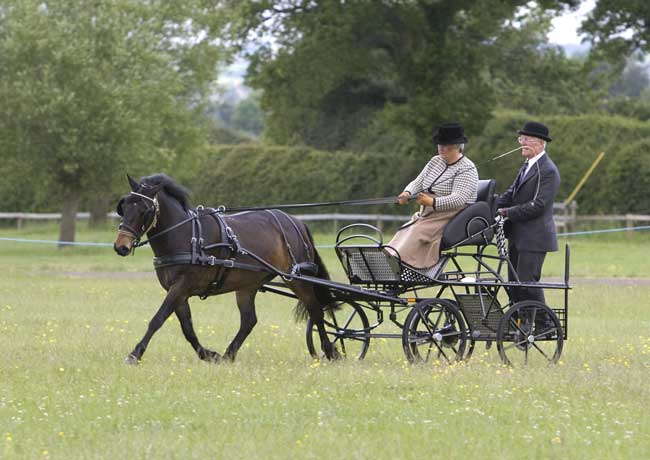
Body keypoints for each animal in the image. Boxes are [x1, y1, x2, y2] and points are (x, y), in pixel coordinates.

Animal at [112, 172, 340, 362]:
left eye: (145, 210)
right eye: (124, 206)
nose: (121, 246)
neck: (186, 235)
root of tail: (296, 222)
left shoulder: (181, 286)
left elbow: (158, 319)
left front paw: (135, 354)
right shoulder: (177, 291)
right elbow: (187, 328)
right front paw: (208, 354)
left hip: (297, 279)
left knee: (315, 310)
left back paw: (330, 351)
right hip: (248, 285)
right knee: (249, 321)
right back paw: (228, 355)